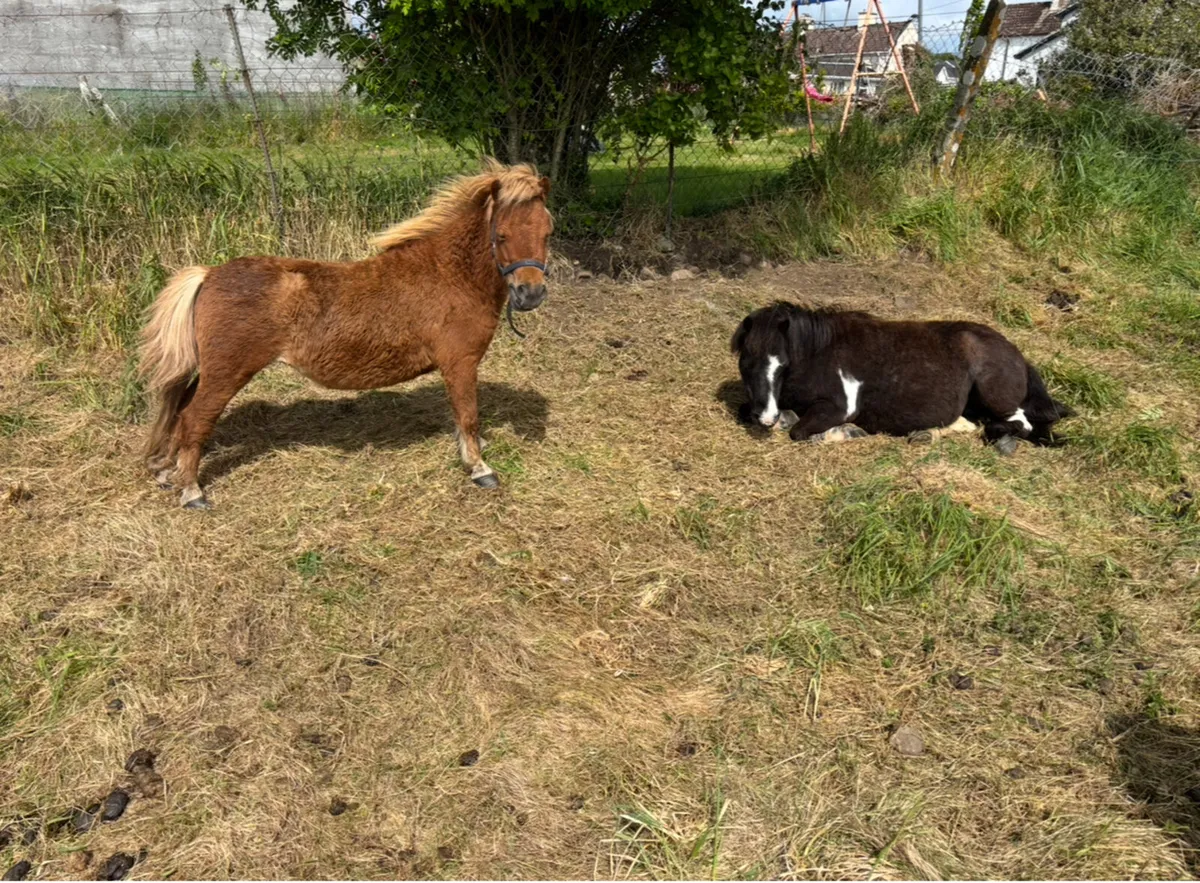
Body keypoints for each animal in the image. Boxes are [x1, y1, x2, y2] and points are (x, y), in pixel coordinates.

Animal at [139, 160, 554, 509]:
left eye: (548, 232)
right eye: (502, 235)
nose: (530, 294)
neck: (450, 274)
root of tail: (209, 274)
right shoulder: (460, 363)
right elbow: (468, 415)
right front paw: (480, 467)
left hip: (209, 371)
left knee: (179, 411)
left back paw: (168, 472)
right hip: (227, 373)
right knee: (194, 418)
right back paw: (192, 491)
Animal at [730, 302, 1071, 452]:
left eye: (782, 364)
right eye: (746, 362)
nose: (766, 418)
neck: (818, 355)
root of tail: (1018, 354)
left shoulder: (838, 407)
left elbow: (799, 431)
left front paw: (846, 432)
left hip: (995, 394)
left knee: (1020, 423)